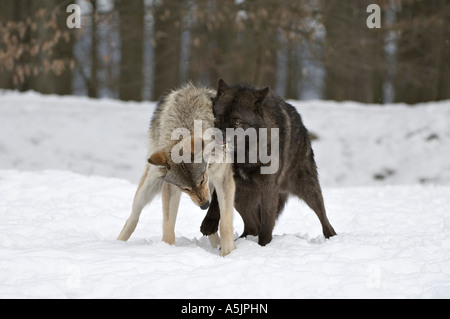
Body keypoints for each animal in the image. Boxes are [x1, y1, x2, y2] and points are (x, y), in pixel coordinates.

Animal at [117, 83, 236, 258]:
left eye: (202, 179)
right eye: (184, 188)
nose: (204, 205)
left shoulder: (222, 179)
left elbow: (225, 223)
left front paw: (228, 253)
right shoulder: (171, 188)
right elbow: (168, 227)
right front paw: (167, 250)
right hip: (150, 183)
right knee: (132, 218)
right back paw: (117, 244)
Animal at [200, 79, 334, 246]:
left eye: (237, 121)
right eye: (217, 118)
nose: (218, 138)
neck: (244, 154)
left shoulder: (269, 187)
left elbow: (266, 225)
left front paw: (264, 246)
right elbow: (216, 202)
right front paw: (209, 223)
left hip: (308, 189)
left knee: (324, 219)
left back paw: (332, 237)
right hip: (240, 199)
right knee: (252, 226)